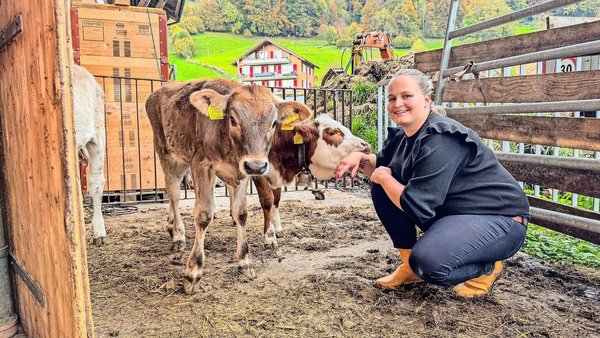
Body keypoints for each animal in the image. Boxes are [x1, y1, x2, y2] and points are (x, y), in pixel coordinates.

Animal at [250, 115, 370, 247]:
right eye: (332, 132)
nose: (366, 146)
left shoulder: (277, 176)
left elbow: (276, 199)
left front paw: (277, 228)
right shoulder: (258, 173)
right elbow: (267, 200)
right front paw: (269, 236)